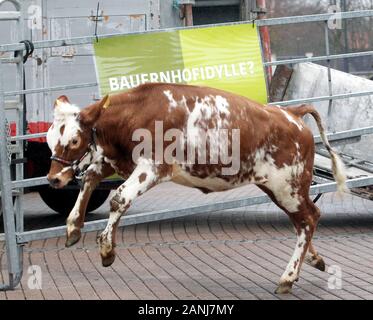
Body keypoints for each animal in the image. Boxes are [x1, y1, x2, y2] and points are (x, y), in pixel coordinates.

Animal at [46, 83, 346, 296]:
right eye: (50, 138)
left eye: (74, 140)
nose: (53, 179)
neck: (138, 112)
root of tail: (292, 114)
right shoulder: (114, 160)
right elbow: (89, 179)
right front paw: (73, 227)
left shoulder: (152, 168)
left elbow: (119, 199)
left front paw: (107, 250)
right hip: (278, 188)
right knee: (303, 221)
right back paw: (313, 260)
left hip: (287, 187)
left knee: (309, 218)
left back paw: (288, 278)